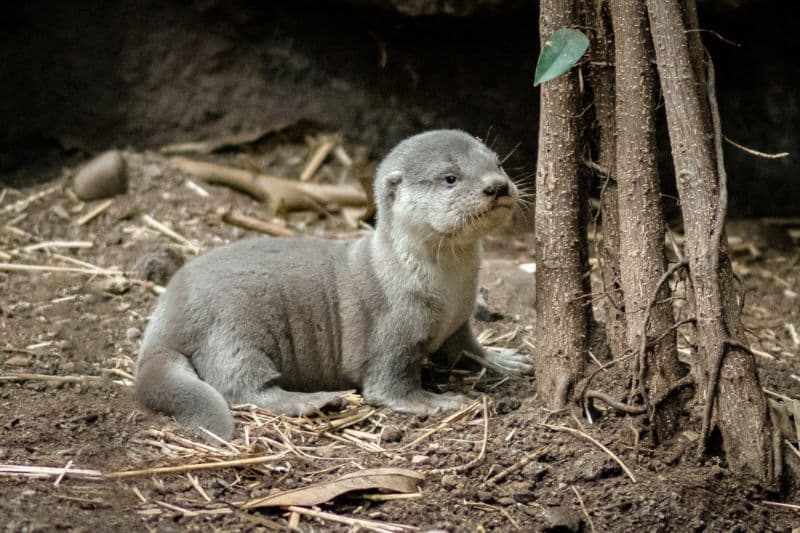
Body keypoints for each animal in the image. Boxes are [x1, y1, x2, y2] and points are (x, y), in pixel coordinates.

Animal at [134, 128, 536, 436]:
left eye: (497, 163)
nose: (498, 187)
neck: (448, 292)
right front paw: (438, 402)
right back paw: (314, 400)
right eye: (450, 178)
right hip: (235, 330)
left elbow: (467, 348)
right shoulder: (393, 330)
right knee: (242, 386)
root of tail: (166, 315)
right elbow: (389, 385)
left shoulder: (459, 320)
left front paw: (503, 359)